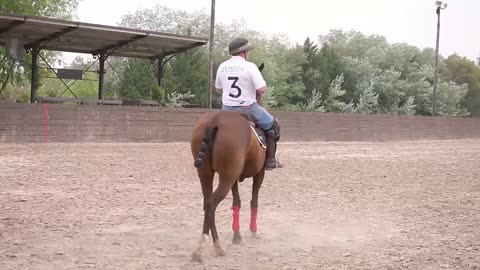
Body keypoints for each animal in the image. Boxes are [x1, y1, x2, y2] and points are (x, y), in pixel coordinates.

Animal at [188, 108, 278, 262]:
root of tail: (215, 120)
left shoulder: (235, 177)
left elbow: (237, 202)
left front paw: (237, 235)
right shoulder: (259, 173)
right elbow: (254, 201)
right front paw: (254, 231)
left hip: (206, 173)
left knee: (207, 203)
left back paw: (211, 245)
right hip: (227, 176)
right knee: (212, 204)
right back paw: (207, 247)